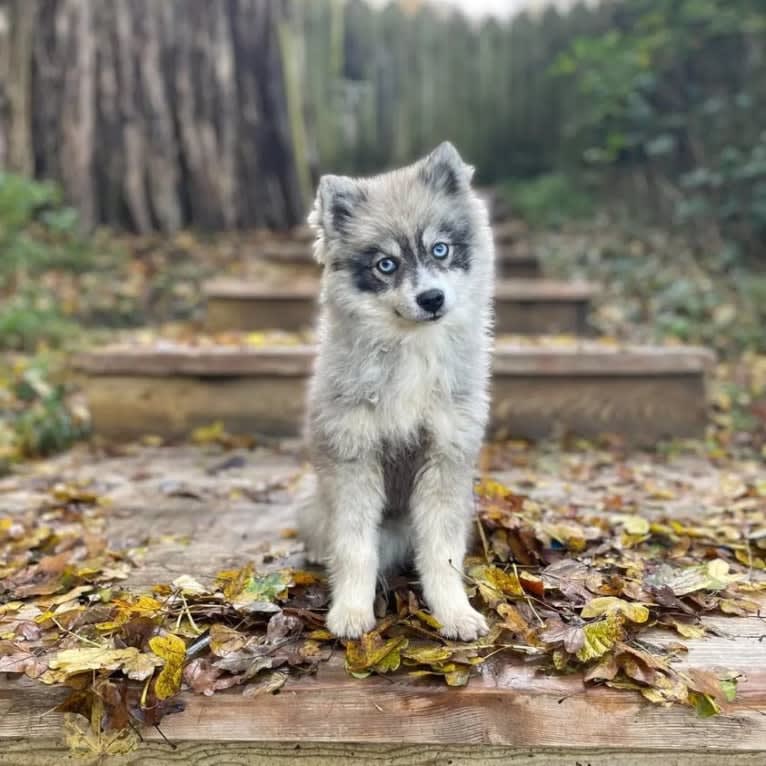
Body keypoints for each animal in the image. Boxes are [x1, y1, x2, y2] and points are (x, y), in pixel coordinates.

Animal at [296, 140, 496, 640]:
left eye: (440, 249)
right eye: (386, 265)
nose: (432, 299)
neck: (411, 351)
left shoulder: (444, 460)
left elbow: (442, 556)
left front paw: (454, 612)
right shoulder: (354, 461)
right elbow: (354, 549)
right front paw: (351, 611)